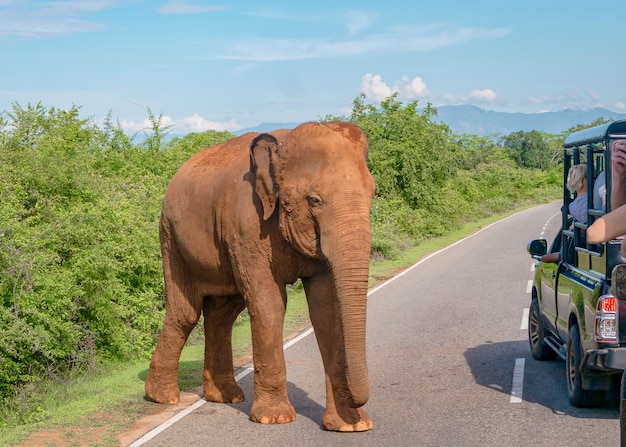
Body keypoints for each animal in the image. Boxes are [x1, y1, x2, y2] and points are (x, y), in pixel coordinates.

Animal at [144, 121, 372, 432]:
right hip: (170, 238)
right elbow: (269, 305)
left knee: (222, 314)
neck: (283, 144)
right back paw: (163, 397)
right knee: (185, 313)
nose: (357, 401)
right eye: (314, 200)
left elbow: (325, 309)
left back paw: (225, 397)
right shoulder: (247, 224)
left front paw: (351, 426)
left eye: (372, 194)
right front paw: (274, 419)